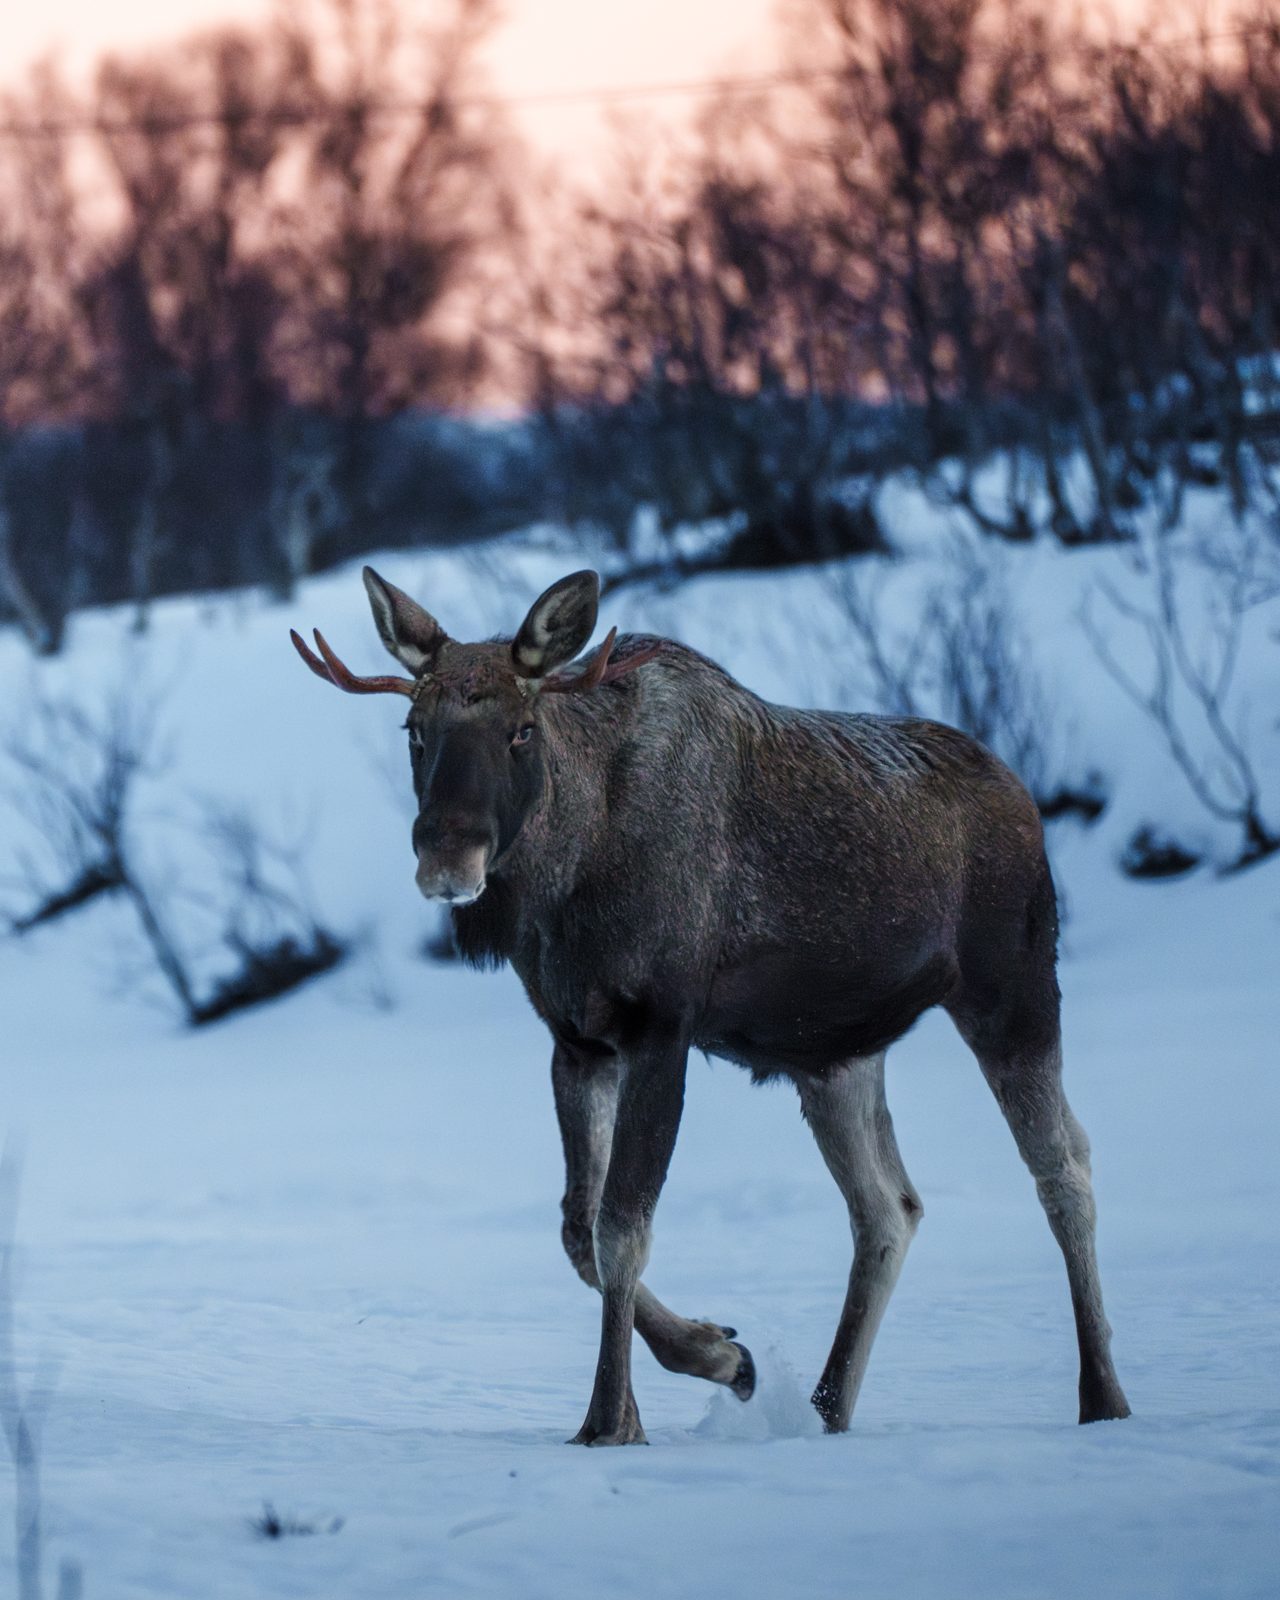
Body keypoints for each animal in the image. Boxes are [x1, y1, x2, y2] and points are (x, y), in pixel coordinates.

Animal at [291, 566, 1131, 1446]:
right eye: (414, 727)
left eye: (522, 729)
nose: (448, 855)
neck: (566, 874)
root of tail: (1023, 795)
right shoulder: (577, 1042)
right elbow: (578, 1228)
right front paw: (723, 1356)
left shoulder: (661, 1027)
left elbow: (622, 1230)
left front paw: (608, 1419)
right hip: (836, 1059)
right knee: (888, 1207)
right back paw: (826, 1407)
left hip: (1012, 988)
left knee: (1063, 1167)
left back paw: (1102, 1396)